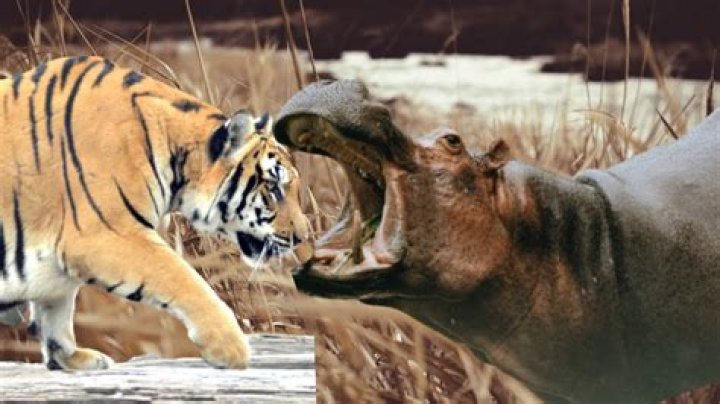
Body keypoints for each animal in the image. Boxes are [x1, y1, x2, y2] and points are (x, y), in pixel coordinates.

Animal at [0, 56, 311, 370]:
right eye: (273, 188)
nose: (302, 236)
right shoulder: (105, 235)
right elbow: (183, 278)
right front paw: (230, 347)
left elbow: (56, 306)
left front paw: (69, 357)